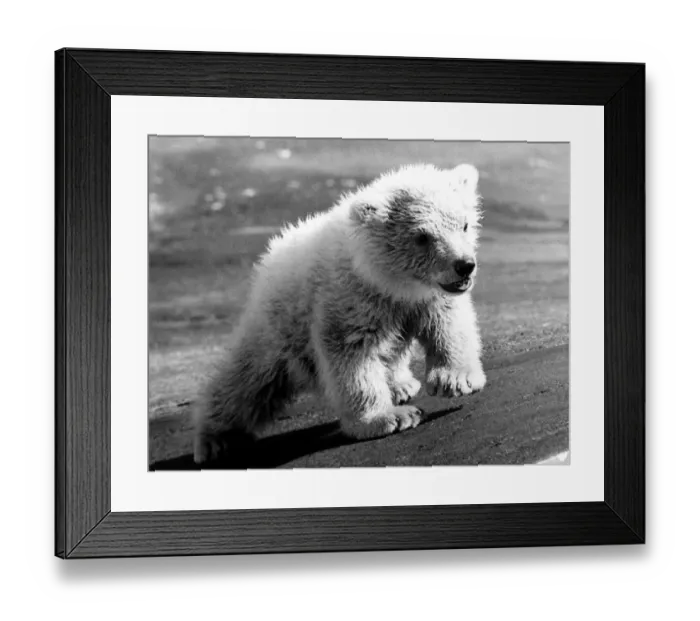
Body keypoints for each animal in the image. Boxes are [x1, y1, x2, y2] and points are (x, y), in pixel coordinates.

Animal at [192, 162, 487, 465]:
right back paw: (215, 440)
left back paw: (401, 385)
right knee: (248, 382)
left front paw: (456, 380)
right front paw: (389, 418)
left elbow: (448, 325)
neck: (384, 279)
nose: (464, 265)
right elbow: (352, 356)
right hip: (277, 327)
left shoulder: (427, 298)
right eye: (422, 237)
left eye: (464, 224)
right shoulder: (348, 299)